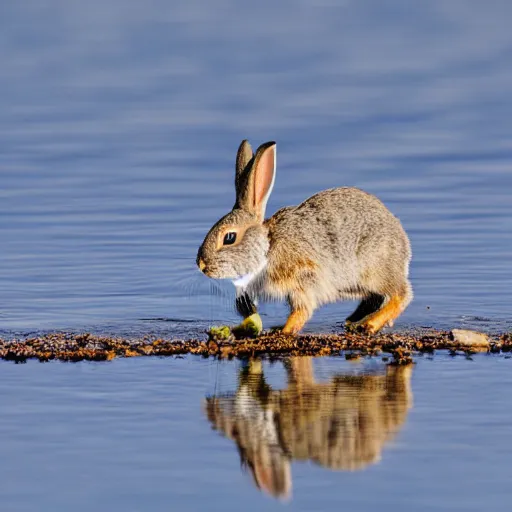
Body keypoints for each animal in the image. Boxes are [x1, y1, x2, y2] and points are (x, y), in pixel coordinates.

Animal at [196, 138, 412, 334]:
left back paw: (370, 325)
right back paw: (354, 321)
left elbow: (301, 312)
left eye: (229, 238)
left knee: (401, 295)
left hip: (373, 269)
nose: (201, 264)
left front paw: (283, 331)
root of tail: (404, 246)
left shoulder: (302, 280)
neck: (268, 247)